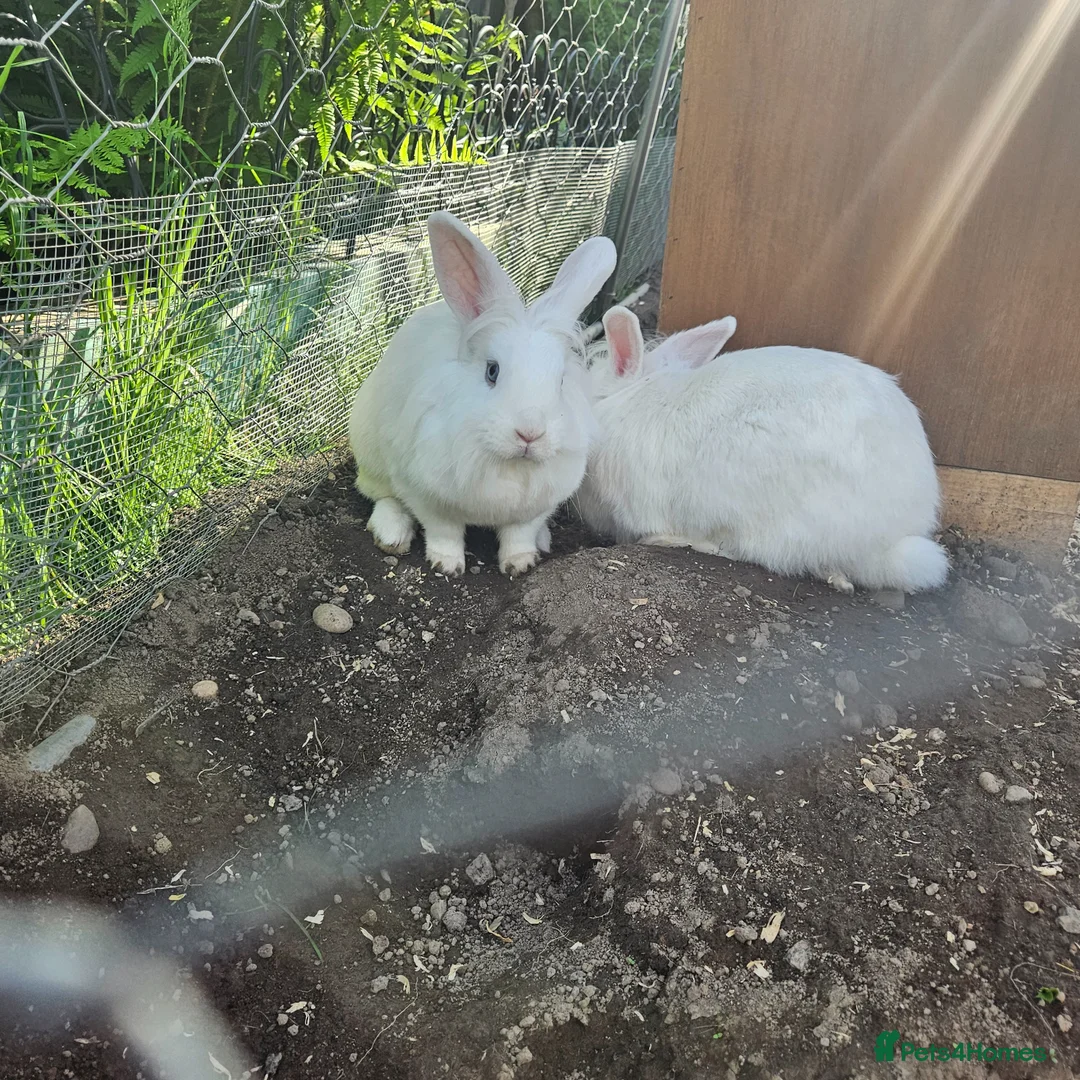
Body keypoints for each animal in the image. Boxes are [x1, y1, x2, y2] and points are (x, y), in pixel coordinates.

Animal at [348, 211, 616, 577]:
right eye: (492, 371)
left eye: (560, 381)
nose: (530, 434)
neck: (508, 462)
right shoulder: (427, 495)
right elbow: (443, 531)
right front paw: (446, 565)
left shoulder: (534, 509)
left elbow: (520, 534)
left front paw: (520, 563)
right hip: (371, 455)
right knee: (380, 495)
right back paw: (392, 535)